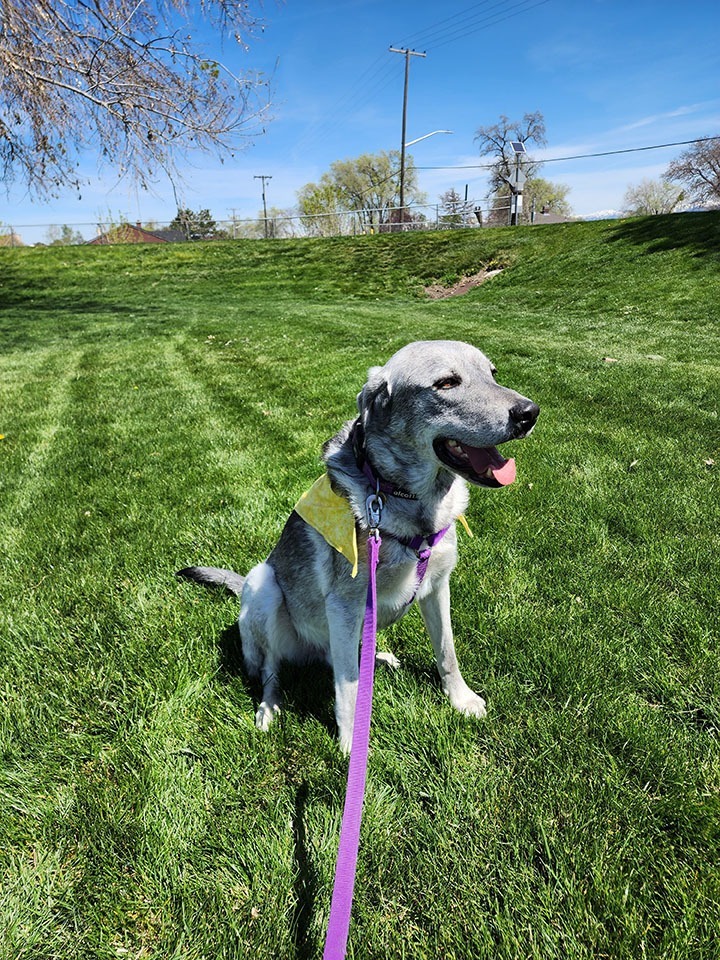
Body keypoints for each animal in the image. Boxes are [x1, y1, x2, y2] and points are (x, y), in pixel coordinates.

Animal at [179, 342, 540, 752]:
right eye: (446, 383)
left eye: (493, 373)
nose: (529, 413)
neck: (410, 502)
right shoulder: (345, 606)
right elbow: (349, 685)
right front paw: (352, 740)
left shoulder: (437, 588)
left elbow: (447, 652)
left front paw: (460, 699)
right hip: (264, 584)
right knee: (273, 671)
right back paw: (269, 708)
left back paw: (378, 658)